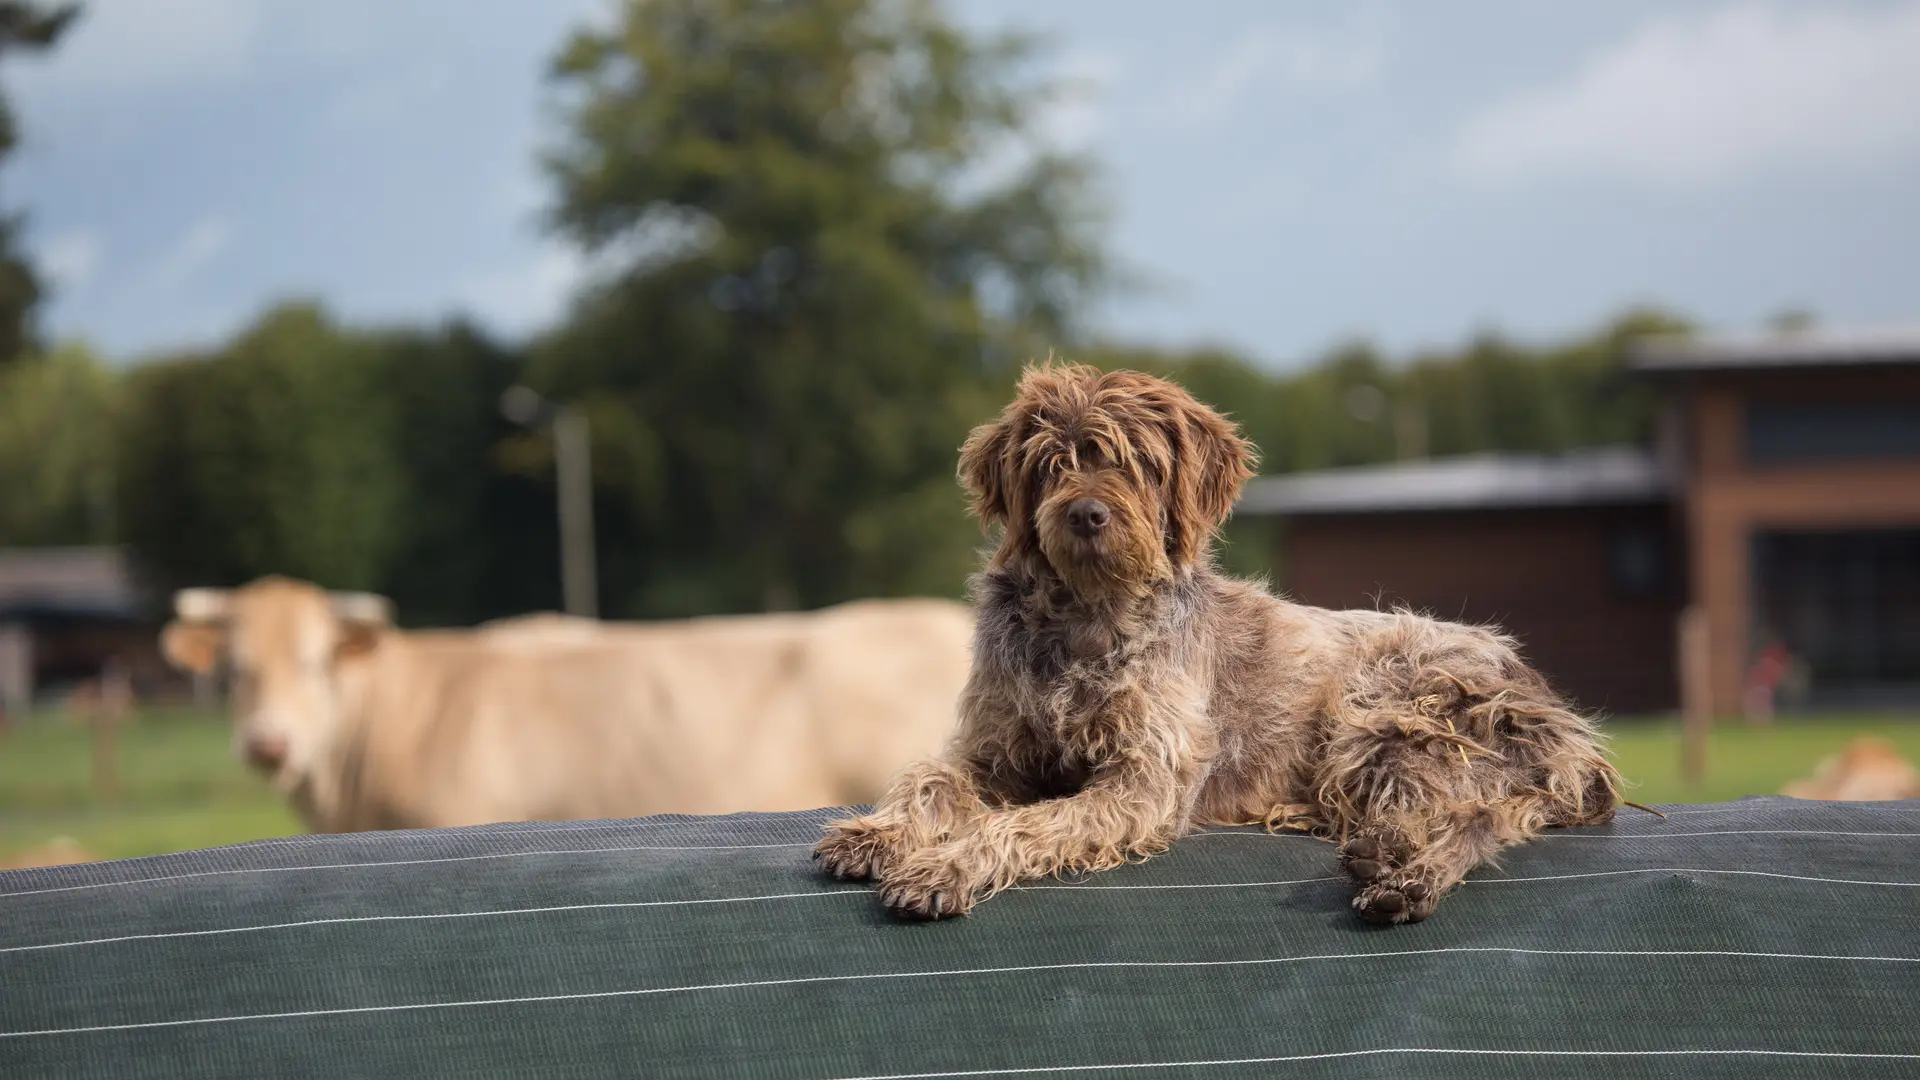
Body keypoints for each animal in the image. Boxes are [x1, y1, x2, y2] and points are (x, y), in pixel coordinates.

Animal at [814, 361, 1620, 914]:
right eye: (1051, 464)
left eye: (1137, 463)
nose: (1086, 515)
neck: (1085, 620)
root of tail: (1557, 714)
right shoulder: (992, 750)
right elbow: (929, 779)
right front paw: (877, 833)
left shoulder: (1141, 780)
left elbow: (1028, 825)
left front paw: (943, 866)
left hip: (1390, 710)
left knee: (1478, 815)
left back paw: (1405, 874)